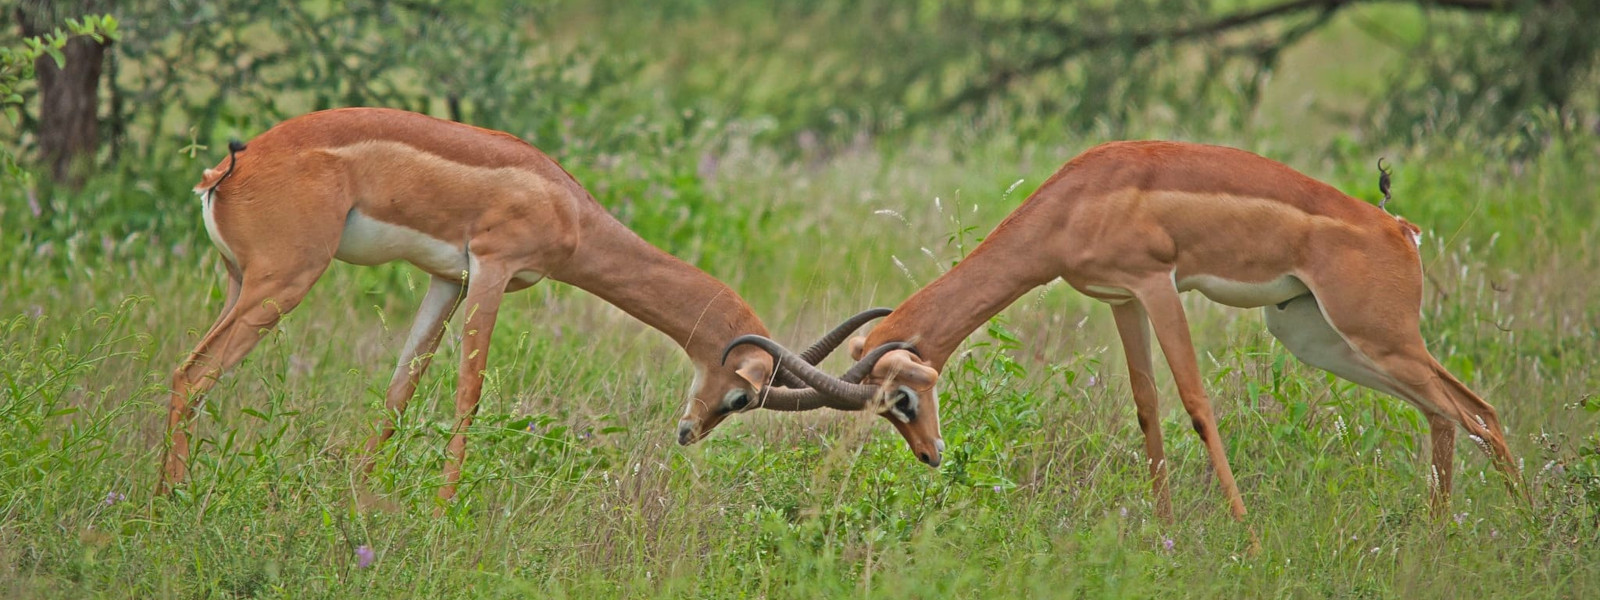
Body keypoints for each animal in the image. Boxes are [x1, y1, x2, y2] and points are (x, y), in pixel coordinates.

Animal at [164, 108, 883, 502]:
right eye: (740, 396)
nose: (687, 434)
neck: (568, 205)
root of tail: (227, 170)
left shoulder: (446, 279)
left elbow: (400, 388)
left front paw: (360, 497)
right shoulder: (491, 268)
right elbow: (467, 394)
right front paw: (441, 511)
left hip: (240, 282)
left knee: (190, 372)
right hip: (284, 281)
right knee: (192, 373)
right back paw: (168, 501)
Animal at [726, 140, 1523, 521]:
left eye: (901, 399)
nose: (929, 455)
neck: (1075, 200)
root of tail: (1399, 229)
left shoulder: (1156, 284)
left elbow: (1196, 404)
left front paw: (1244, 533)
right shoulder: (1120, 300)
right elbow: (1147, 411)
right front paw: (1165, 533)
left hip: (1377, 337)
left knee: (1475, 411)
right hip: (1322, 339)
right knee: (1452, 412)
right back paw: (1457, 532)